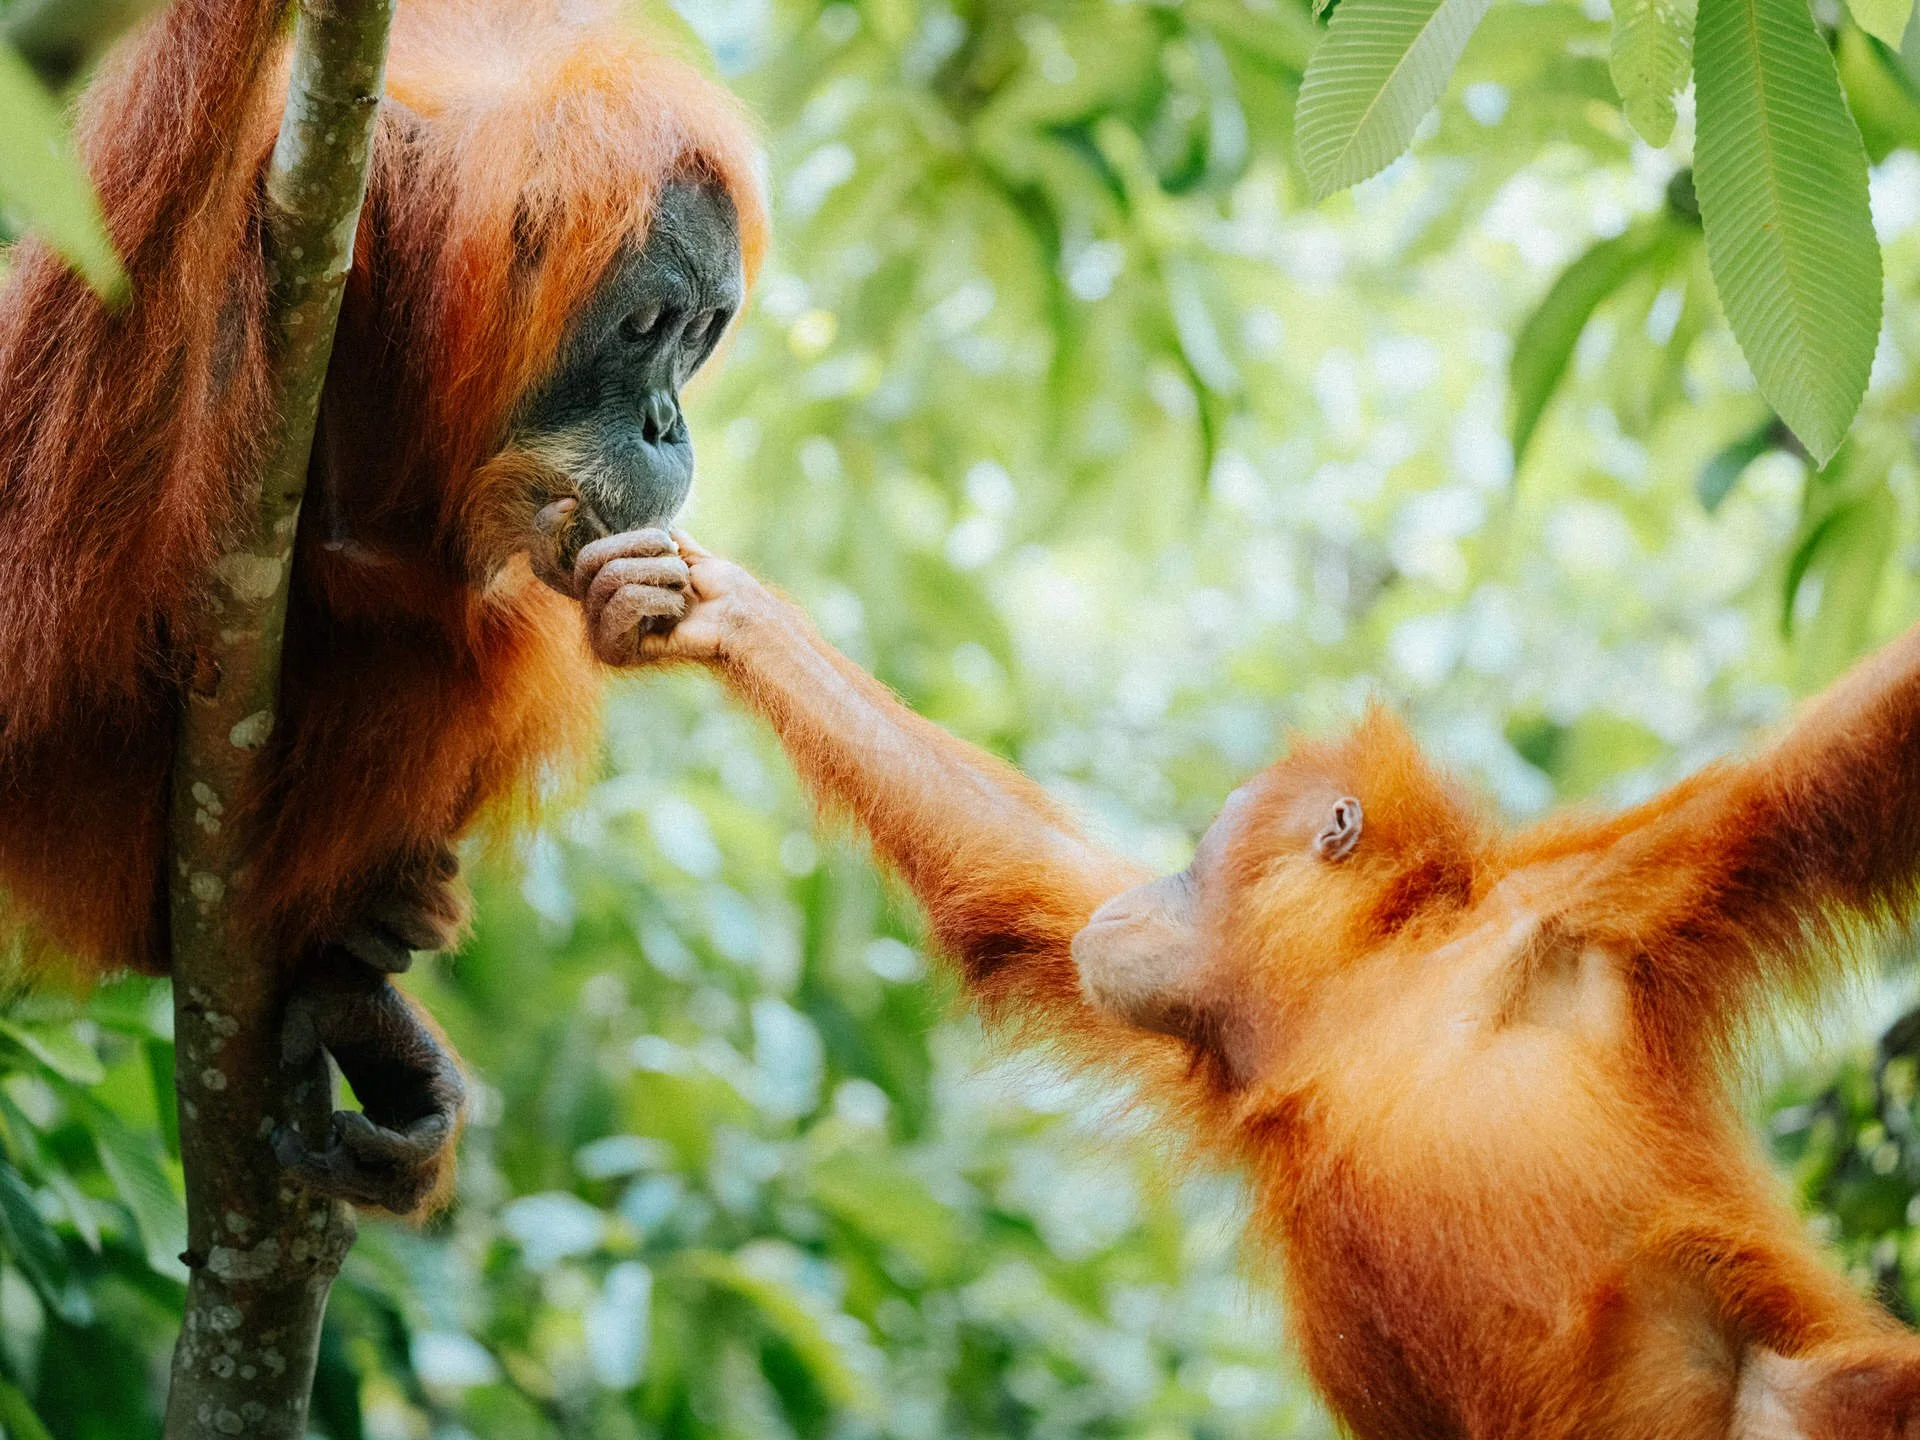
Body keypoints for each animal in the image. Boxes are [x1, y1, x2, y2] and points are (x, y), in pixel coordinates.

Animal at [618, 534, 1920, 1438]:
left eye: (1202, 848)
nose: (1154, 885)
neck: (1370, 998)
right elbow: (1032, 895)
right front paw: (727, 611)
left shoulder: (1611, 899)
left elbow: (1832, 762)